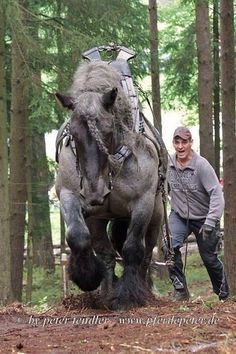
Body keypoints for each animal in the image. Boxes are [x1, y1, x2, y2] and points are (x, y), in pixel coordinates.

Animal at [56, 59, 165, 308]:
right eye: (73, 133)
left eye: (107, 131)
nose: (94, 193)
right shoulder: (69, 194)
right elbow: (78, 236)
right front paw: (87, 277)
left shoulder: (143, 202)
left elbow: (133, 248)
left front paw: (127, 296)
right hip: (100, 217)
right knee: (106, 252)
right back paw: (106, 290)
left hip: (155, 214)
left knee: (146, 252)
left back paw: (143, 289)